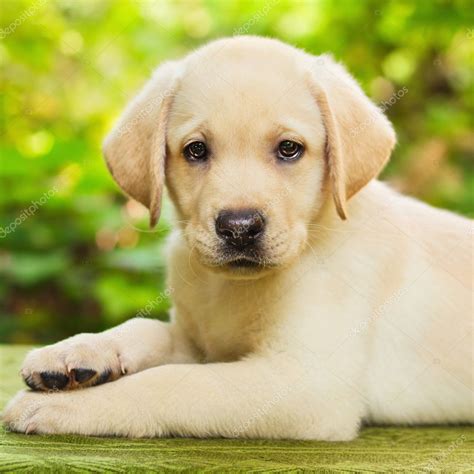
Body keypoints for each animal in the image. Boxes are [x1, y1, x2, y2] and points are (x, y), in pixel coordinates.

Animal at [3, 37, 474, 440]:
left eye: (289, 149)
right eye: (195, 150)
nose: (240, 227)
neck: (227, 288)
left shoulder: (306, 382)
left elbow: (170, 383)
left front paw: (67, 406)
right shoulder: (200, 341)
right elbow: (147, 329)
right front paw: (77, 351)